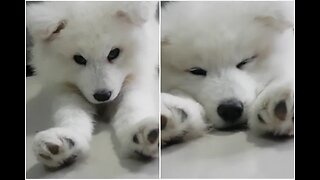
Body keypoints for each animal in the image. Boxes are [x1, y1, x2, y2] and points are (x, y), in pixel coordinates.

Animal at [26, 1, 159, 167]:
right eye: (79, 59)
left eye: (113, 53)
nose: (103, 95)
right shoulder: (66, 89)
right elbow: (71, 113)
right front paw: (64, 143)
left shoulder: (134, 79)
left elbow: (132, 106)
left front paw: (141, 132)